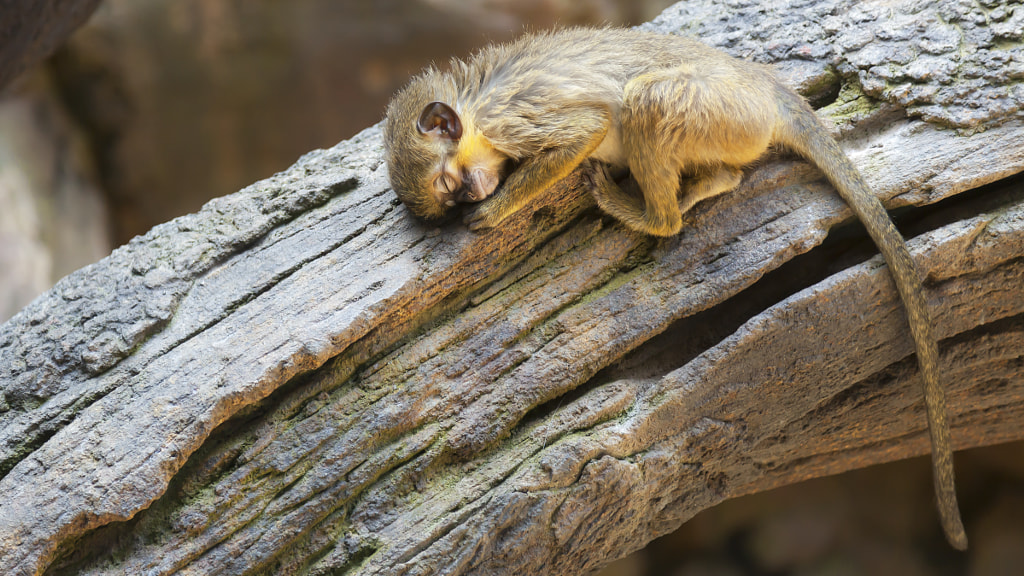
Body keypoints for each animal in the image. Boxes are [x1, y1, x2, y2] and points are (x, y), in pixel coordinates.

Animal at [382, 27, 967, 550]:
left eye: (450, 186)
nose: (470, 196)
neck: (476, 108)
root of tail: (766, 92)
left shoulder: (513, 118)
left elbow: (587, 128)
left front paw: (496, 212)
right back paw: (714, 184)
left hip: (723, 112)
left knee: (646, 99)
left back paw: (657, 217)